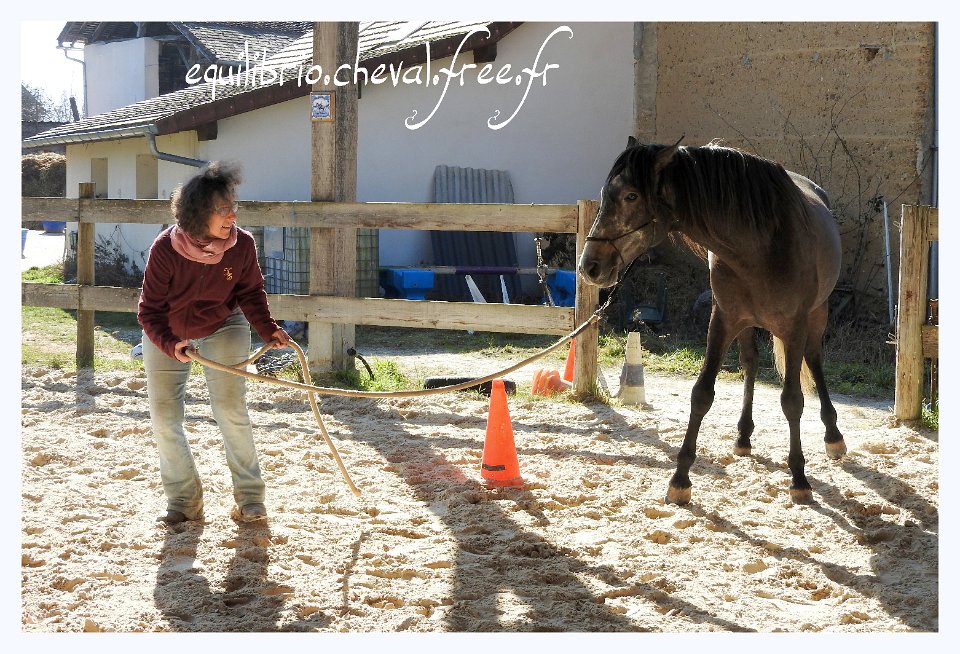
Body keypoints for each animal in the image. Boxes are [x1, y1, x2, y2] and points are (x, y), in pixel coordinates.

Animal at [576, 138, 848, 508]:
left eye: (631, 195)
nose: (589, 266)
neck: (761, 246)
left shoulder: (794, 326)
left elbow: (792, 401)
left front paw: (799, 479)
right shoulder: (723, 320)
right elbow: (702, 394)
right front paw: (680, 480)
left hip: (817, 314)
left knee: (814, 360)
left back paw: (833, 437)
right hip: (747, 324)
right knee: (751, 363)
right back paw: (744, 437)